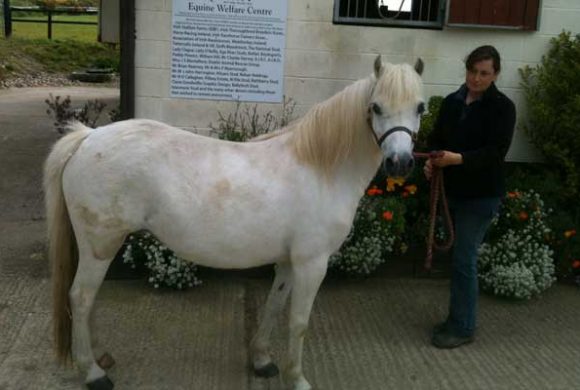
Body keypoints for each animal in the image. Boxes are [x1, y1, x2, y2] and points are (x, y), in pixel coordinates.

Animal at [45, 54, 424, 390]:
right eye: (376, 107)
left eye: (420, 107)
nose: (400, 163)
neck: (321, 168)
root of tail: (87, 138)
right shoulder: (312, 263)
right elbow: (298, 322)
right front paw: (298, 379)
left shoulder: (289, 262)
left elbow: (274, 307)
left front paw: (262, 360)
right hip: (100, 246)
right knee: (81, 297)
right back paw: (93, 373)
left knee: (89, 301)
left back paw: (99, 357)